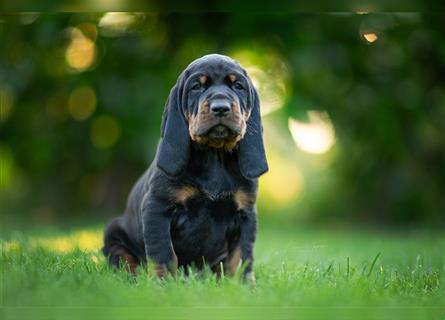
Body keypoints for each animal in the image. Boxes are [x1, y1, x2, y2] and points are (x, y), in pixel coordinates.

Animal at [102, 54, 268, 282]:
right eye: (197, 87)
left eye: (238, 86)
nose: (221, 107)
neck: (213, 155)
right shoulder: (157, 209)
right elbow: (163, 253)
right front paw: (163, 283)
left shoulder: (246, 214)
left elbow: (242, 258)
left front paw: (244, 285)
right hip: (113, 234)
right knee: (125, 261)